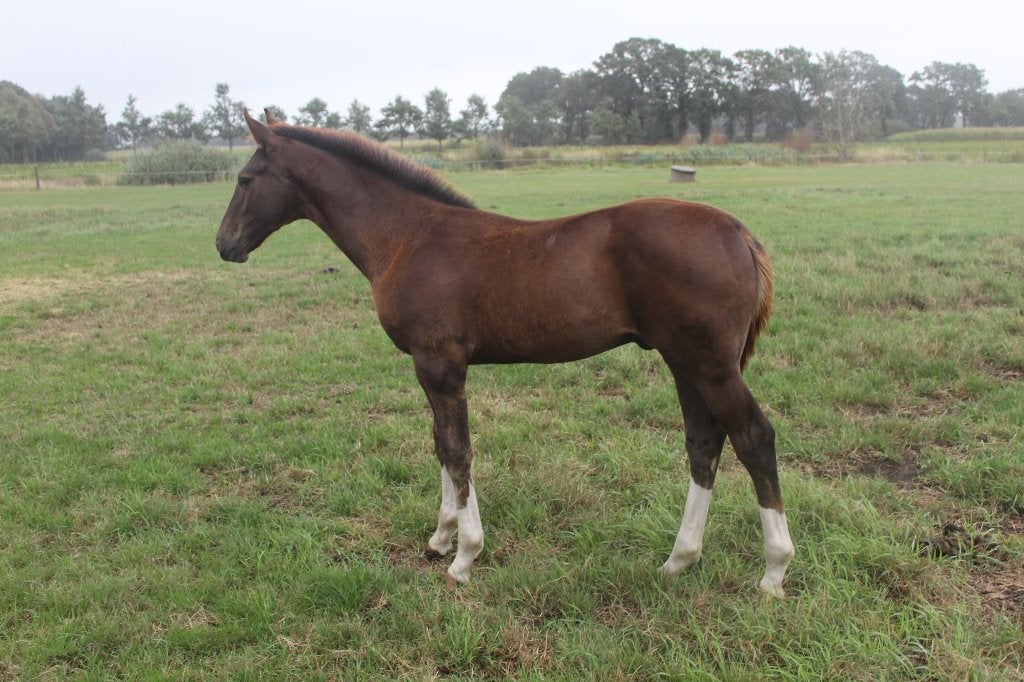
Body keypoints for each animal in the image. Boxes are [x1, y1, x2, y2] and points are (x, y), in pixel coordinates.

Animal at [216, 110, 794, 597]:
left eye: (244, 179)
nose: (224, 244)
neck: (409, 236)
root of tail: (739, 232)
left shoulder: (439, 364)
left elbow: (457, 450)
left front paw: (464, 556)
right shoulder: (434, 368)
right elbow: (441, 446)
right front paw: (441, 537)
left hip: (708, 364)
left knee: (753, 437)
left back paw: (773, 572)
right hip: (685, 362)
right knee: (704, 442)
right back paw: (678, 560)